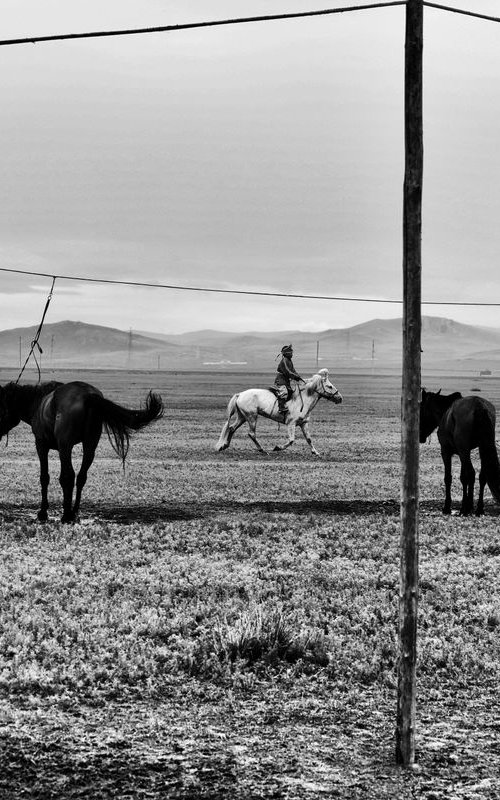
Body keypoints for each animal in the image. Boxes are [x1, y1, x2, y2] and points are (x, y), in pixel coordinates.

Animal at [0, 382, 162, 524]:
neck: (37, 403)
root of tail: (88, 395)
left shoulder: (41, 445)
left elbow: (44, 477)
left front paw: (43, 513)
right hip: (90, 445)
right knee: (81, 477)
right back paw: (75, 512)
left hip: (65, 447)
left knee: (68, 476)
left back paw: (67, 515)